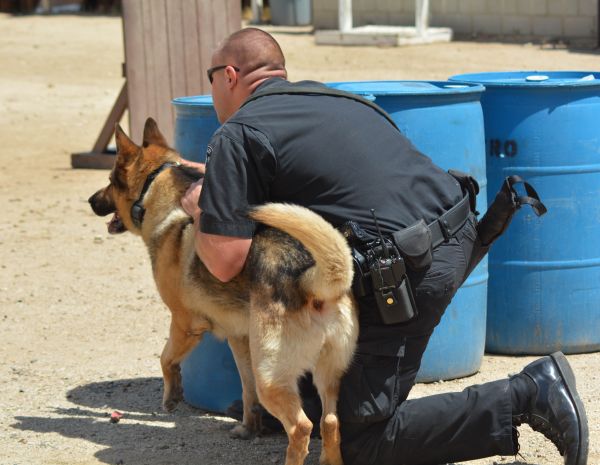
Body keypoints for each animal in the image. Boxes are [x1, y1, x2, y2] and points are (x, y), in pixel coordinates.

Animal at [89, 118, 358, 464]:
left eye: (111, 180)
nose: (90, 200)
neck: (156, 188)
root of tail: (311, 279)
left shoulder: (183, 324)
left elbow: (165, 358)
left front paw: (172, 396)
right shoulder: (239, 339)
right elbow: (246, 389)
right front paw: (248, 428)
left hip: (272, 375)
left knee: (301, 427)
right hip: (326, 374)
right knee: (330, 422)